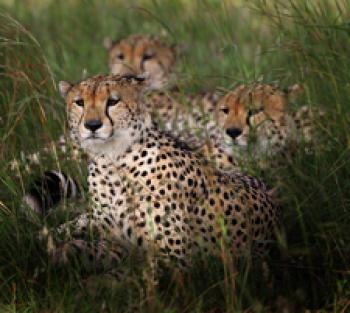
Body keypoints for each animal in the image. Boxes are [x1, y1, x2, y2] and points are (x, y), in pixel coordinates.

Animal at [50, 74, 280, 272]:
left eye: (113, 102)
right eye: (79, 102)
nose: (92, 125)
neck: (111, 160)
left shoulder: (174, 260)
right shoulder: (115, 243)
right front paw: (61, 254)